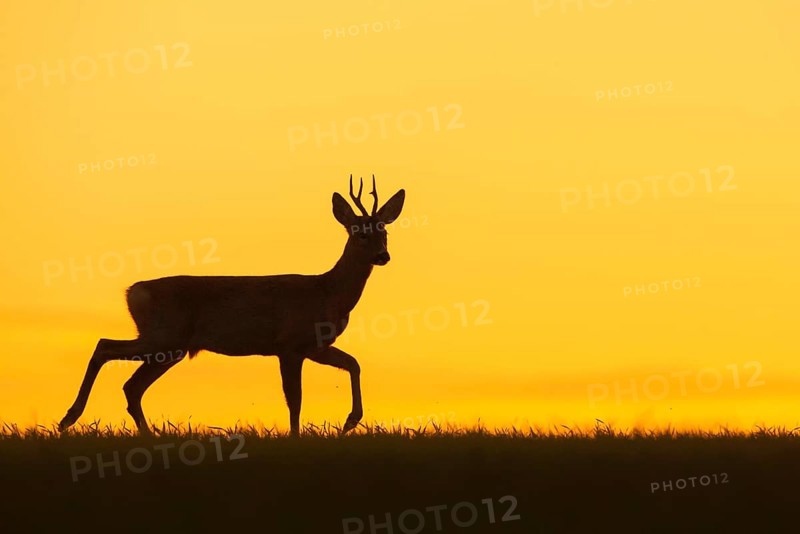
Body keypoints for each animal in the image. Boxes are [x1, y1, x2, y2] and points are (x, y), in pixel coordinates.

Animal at [58, 176, 405, 436]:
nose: (383, 256)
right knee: (106, 348)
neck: (327, 293)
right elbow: (294, 398)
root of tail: (133, 292)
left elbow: (354, 364)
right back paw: (69, 418)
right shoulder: (289, 343)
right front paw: (296, 436)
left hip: (169, 345)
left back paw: (142, 433)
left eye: (384, 232)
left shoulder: (315, 345)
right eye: (360, 233)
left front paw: (350, 421)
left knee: (130, 385)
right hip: (165, 337)